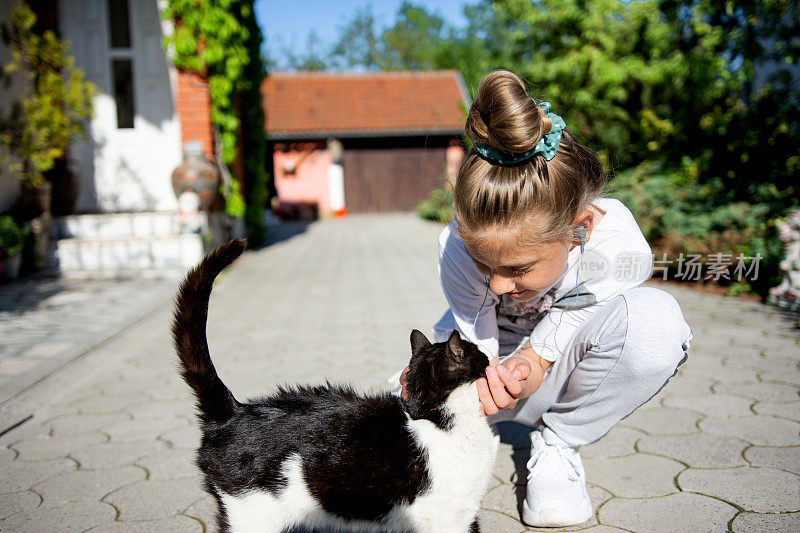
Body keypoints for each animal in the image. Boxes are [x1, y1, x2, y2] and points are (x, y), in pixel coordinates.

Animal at [173, 241, 500, 532]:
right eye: (477, 355)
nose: (489, 355)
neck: (436, 418)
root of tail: (233, 411)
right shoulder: (452, 520)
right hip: (253, 518)